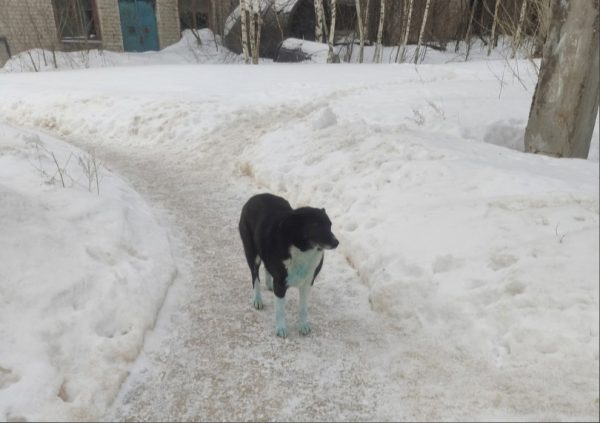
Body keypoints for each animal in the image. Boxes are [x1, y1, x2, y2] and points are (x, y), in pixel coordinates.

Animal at [240, 195, 342, 338]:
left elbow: (303, 308)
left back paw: (269, 284)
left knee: (266, 268)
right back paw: (257, 299)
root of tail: (255, 197)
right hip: (251, 253)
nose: (336, 242)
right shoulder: (280, 283)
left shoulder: (308, 282)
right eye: (315, 225)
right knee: (255, 278)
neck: (303, 249)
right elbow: (280, 310)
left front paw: (303, 325)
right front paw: (281, 328)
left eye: (330, 225)